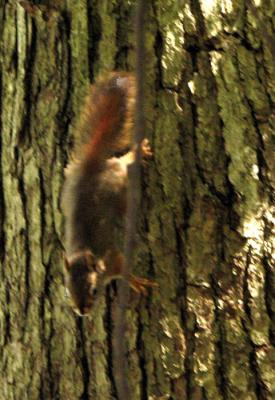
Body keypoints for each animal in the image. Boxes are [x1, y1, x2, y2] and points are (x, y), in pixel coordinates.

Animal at [63, 71, 157, 316]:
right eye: (68, 290)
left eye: (94, 290)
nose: (82, 311)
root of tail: (91, 167)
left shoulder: (112, 258)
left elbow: (123, 270)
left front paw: (136, 282)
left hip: (118, 180)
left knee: (124, 163)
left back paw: (138, 152)